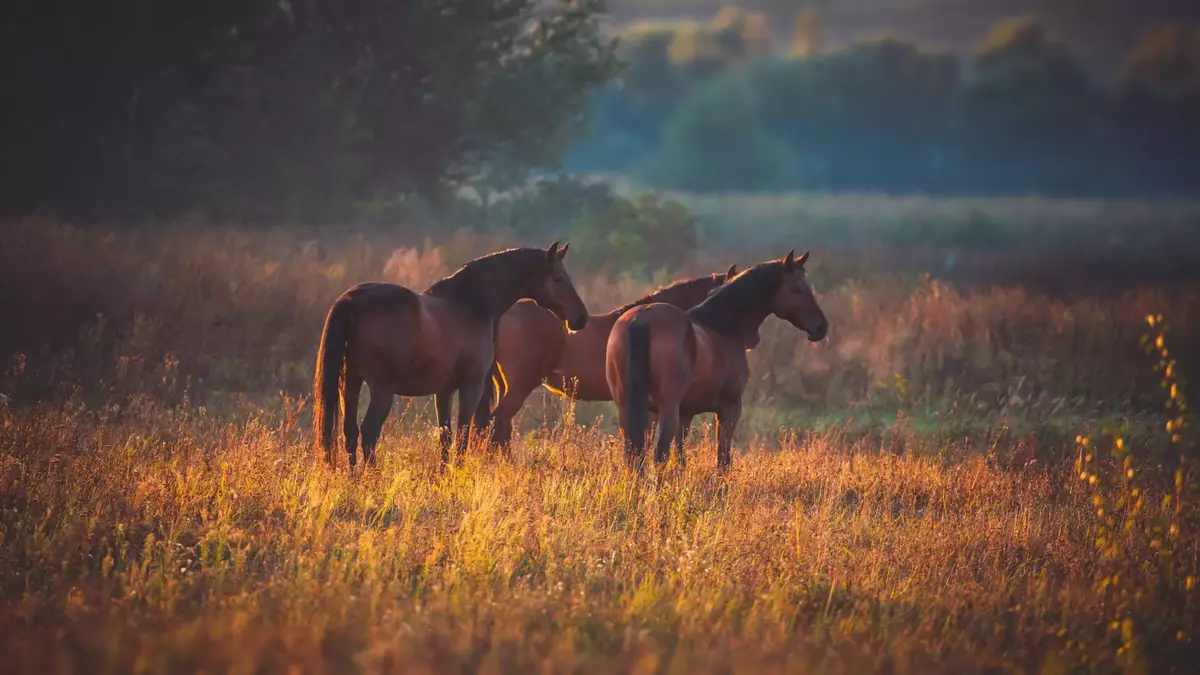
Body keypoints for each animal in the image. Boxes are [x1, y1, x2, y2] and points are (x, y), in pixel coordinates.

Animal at [312, 241, 588, 468]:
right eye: (559, 277)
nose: (581, 318)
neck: (470, 305)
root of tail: (353, 300)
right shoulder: (471, 387)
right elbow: (463, 436)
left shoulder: (443, 391)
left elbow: (445, 437)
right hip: (381, 391)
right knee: (369, 433)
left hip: (350, 383)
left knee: (350, 433)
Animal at [604, 249, 830, 470]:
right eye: (797, 289)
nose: (821, 327)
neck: (723, 328)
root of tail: (640, 319)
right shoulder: (729, 409)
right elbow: (723, 460)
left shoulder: (686, 413)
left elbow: (680, 459)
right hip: (666, 408)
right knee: (659, 455)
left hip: (628, 407)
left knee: (634, 456)